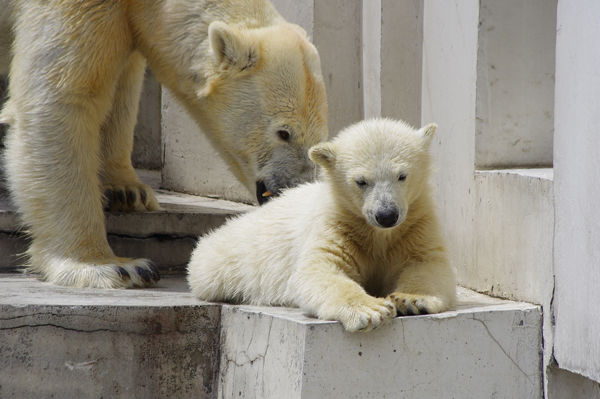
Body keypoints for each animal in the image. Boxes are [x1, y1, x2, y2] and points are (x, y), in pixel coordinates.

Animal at [0, 0, 328, 288]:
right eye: (284, 132)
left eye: (317, 140)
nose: (293, 187)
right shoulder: (77, 6)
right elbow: (63, 100)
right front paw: (113, 266)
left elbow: (122, 84)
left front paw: (125, 190)